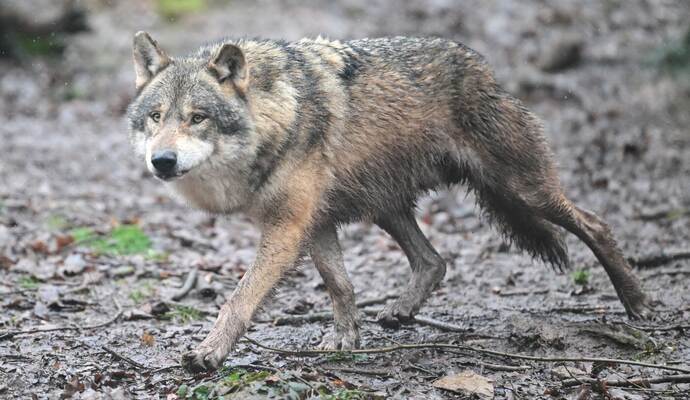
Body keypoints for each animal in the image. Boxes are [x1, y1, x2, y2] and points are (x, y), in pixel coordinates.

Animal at [126, 31, 652, 372]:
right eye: (156, 117)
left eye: (197, 118)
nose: (162, 161)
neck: (276, 115)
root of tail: (484, 68)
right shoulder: (315, 223)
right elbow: (340, 285)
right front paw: (345, 338)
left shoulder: (288, 227)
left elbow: (238, 299)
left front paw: (209, 353)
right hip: (386, 206)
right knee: (434, 261)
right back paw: (400, 311)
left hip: (523, 191)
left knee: (596, 223)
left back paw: (637, 304)